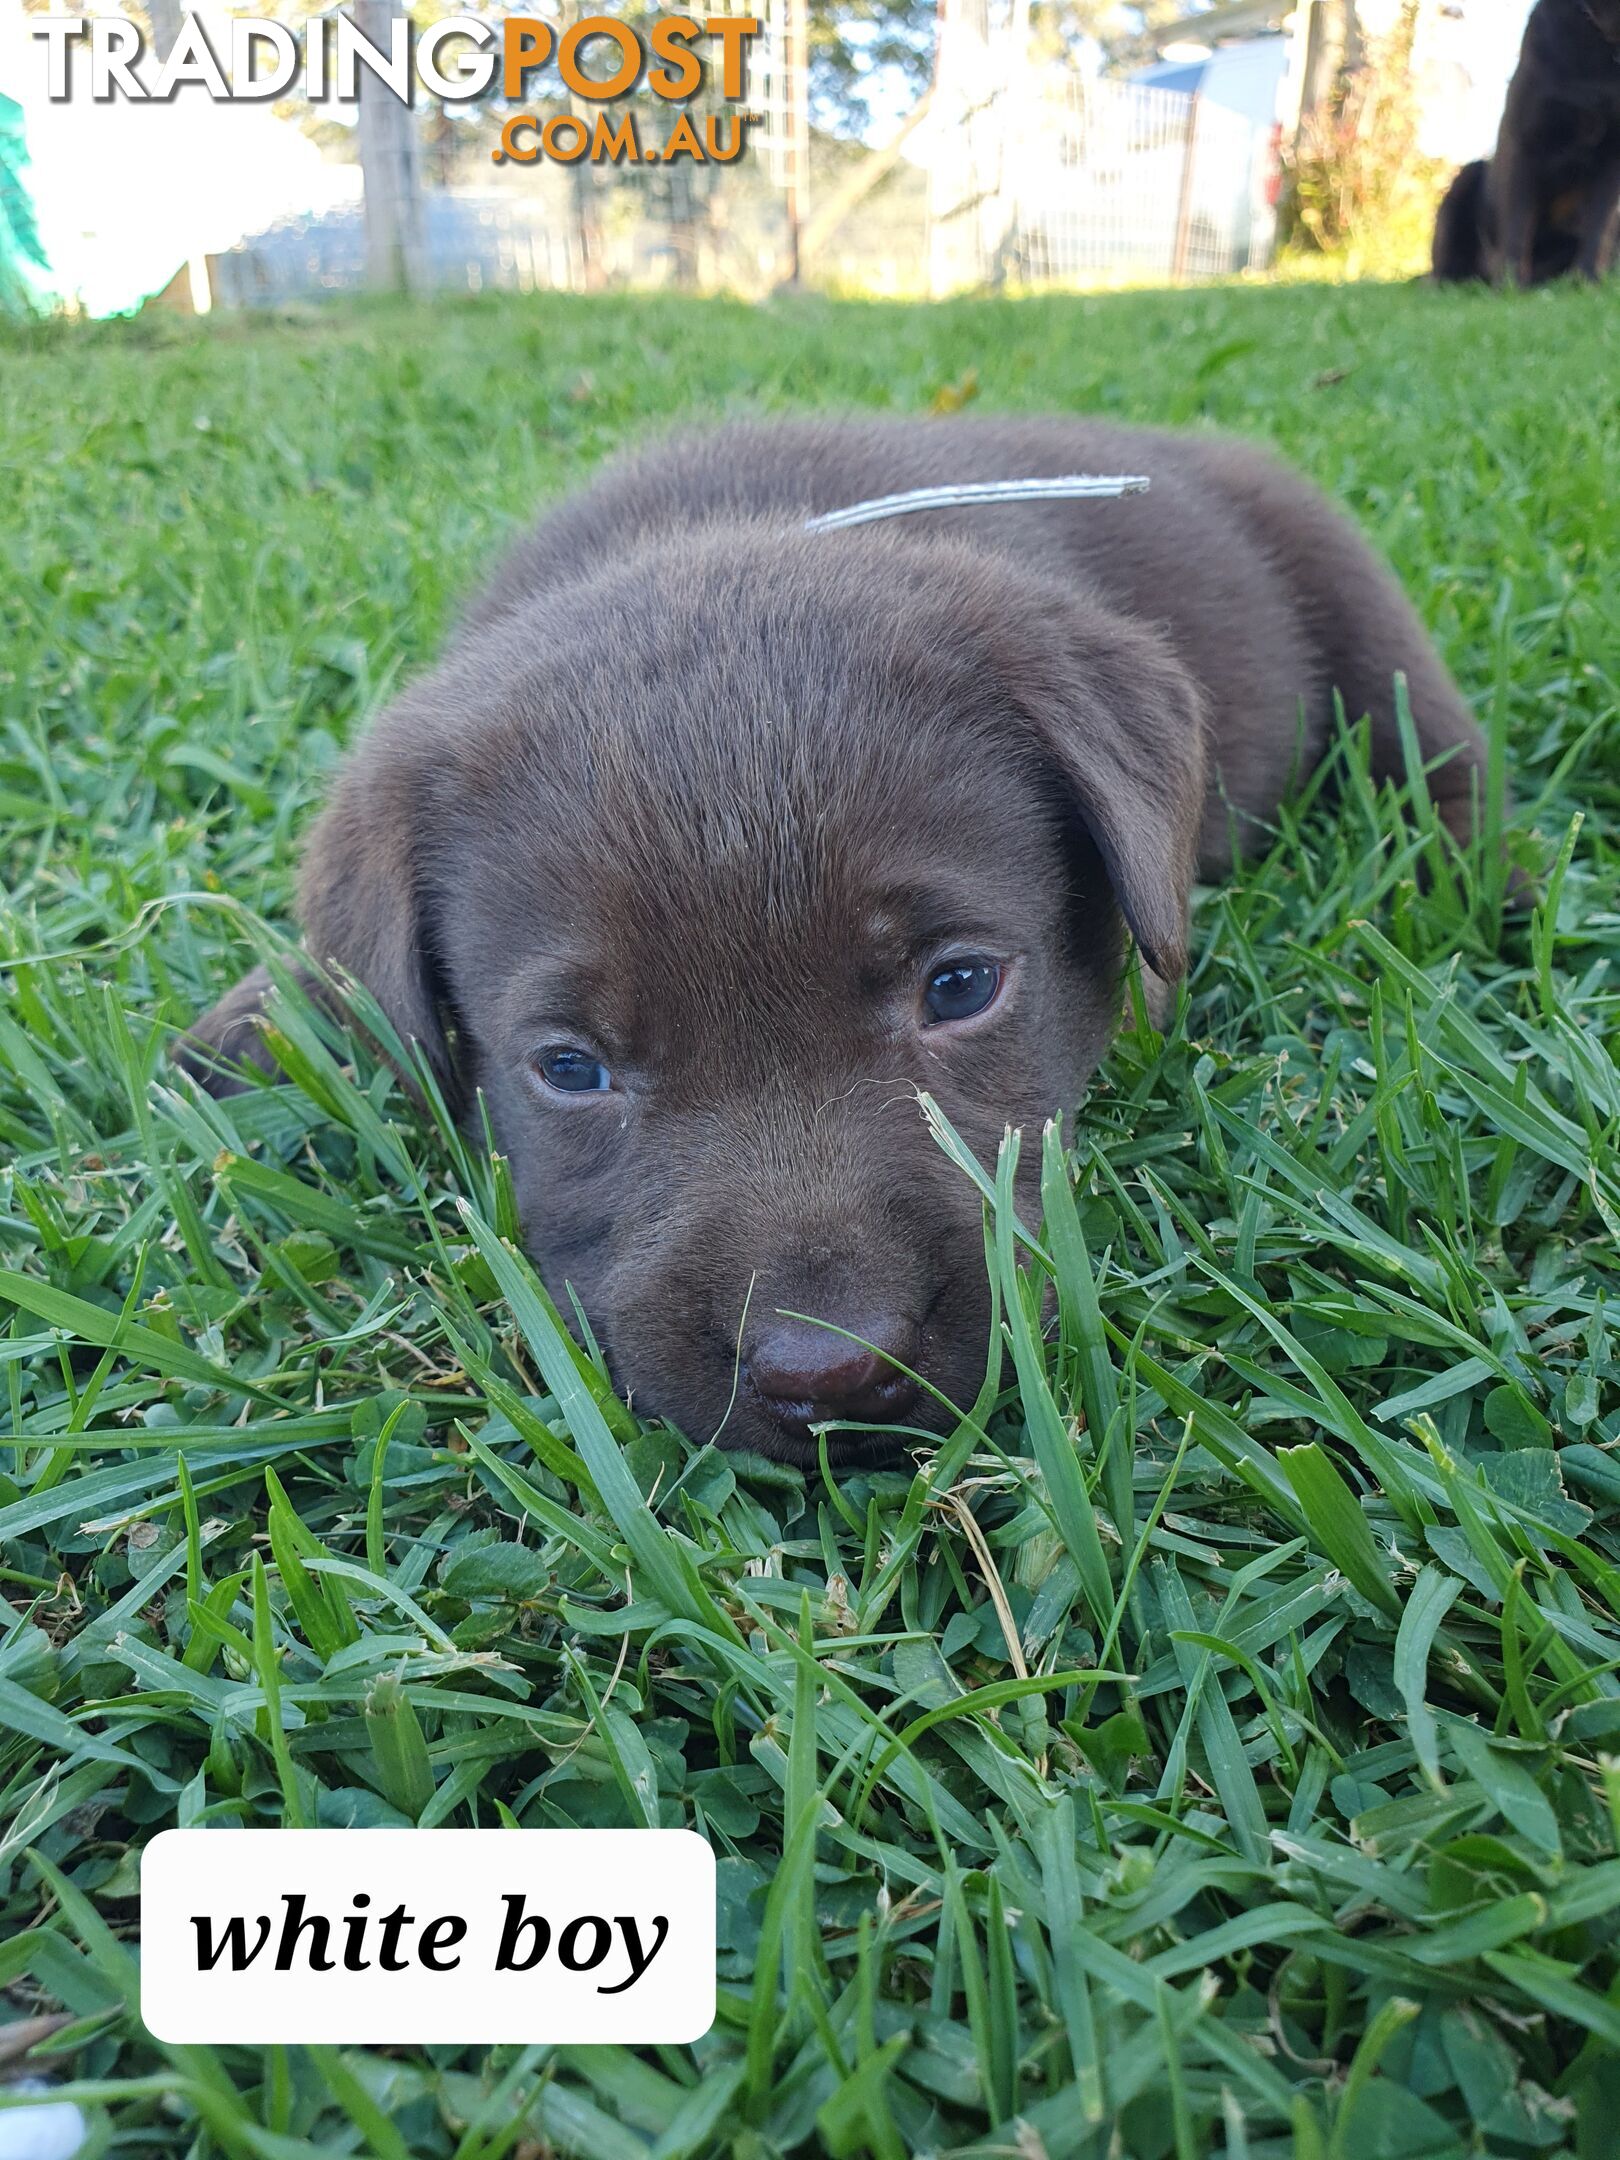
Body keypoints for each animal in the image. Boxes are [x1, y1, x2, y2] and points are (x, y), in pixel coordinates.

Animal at [1434, 0, 1620, 287]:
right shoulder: (1523, 144)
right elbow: (1517, 225)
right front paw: (1511, 286)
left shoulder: (1611, 160)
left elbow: (1598, 229)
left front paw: (1587, 281)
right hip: (1467, 177)